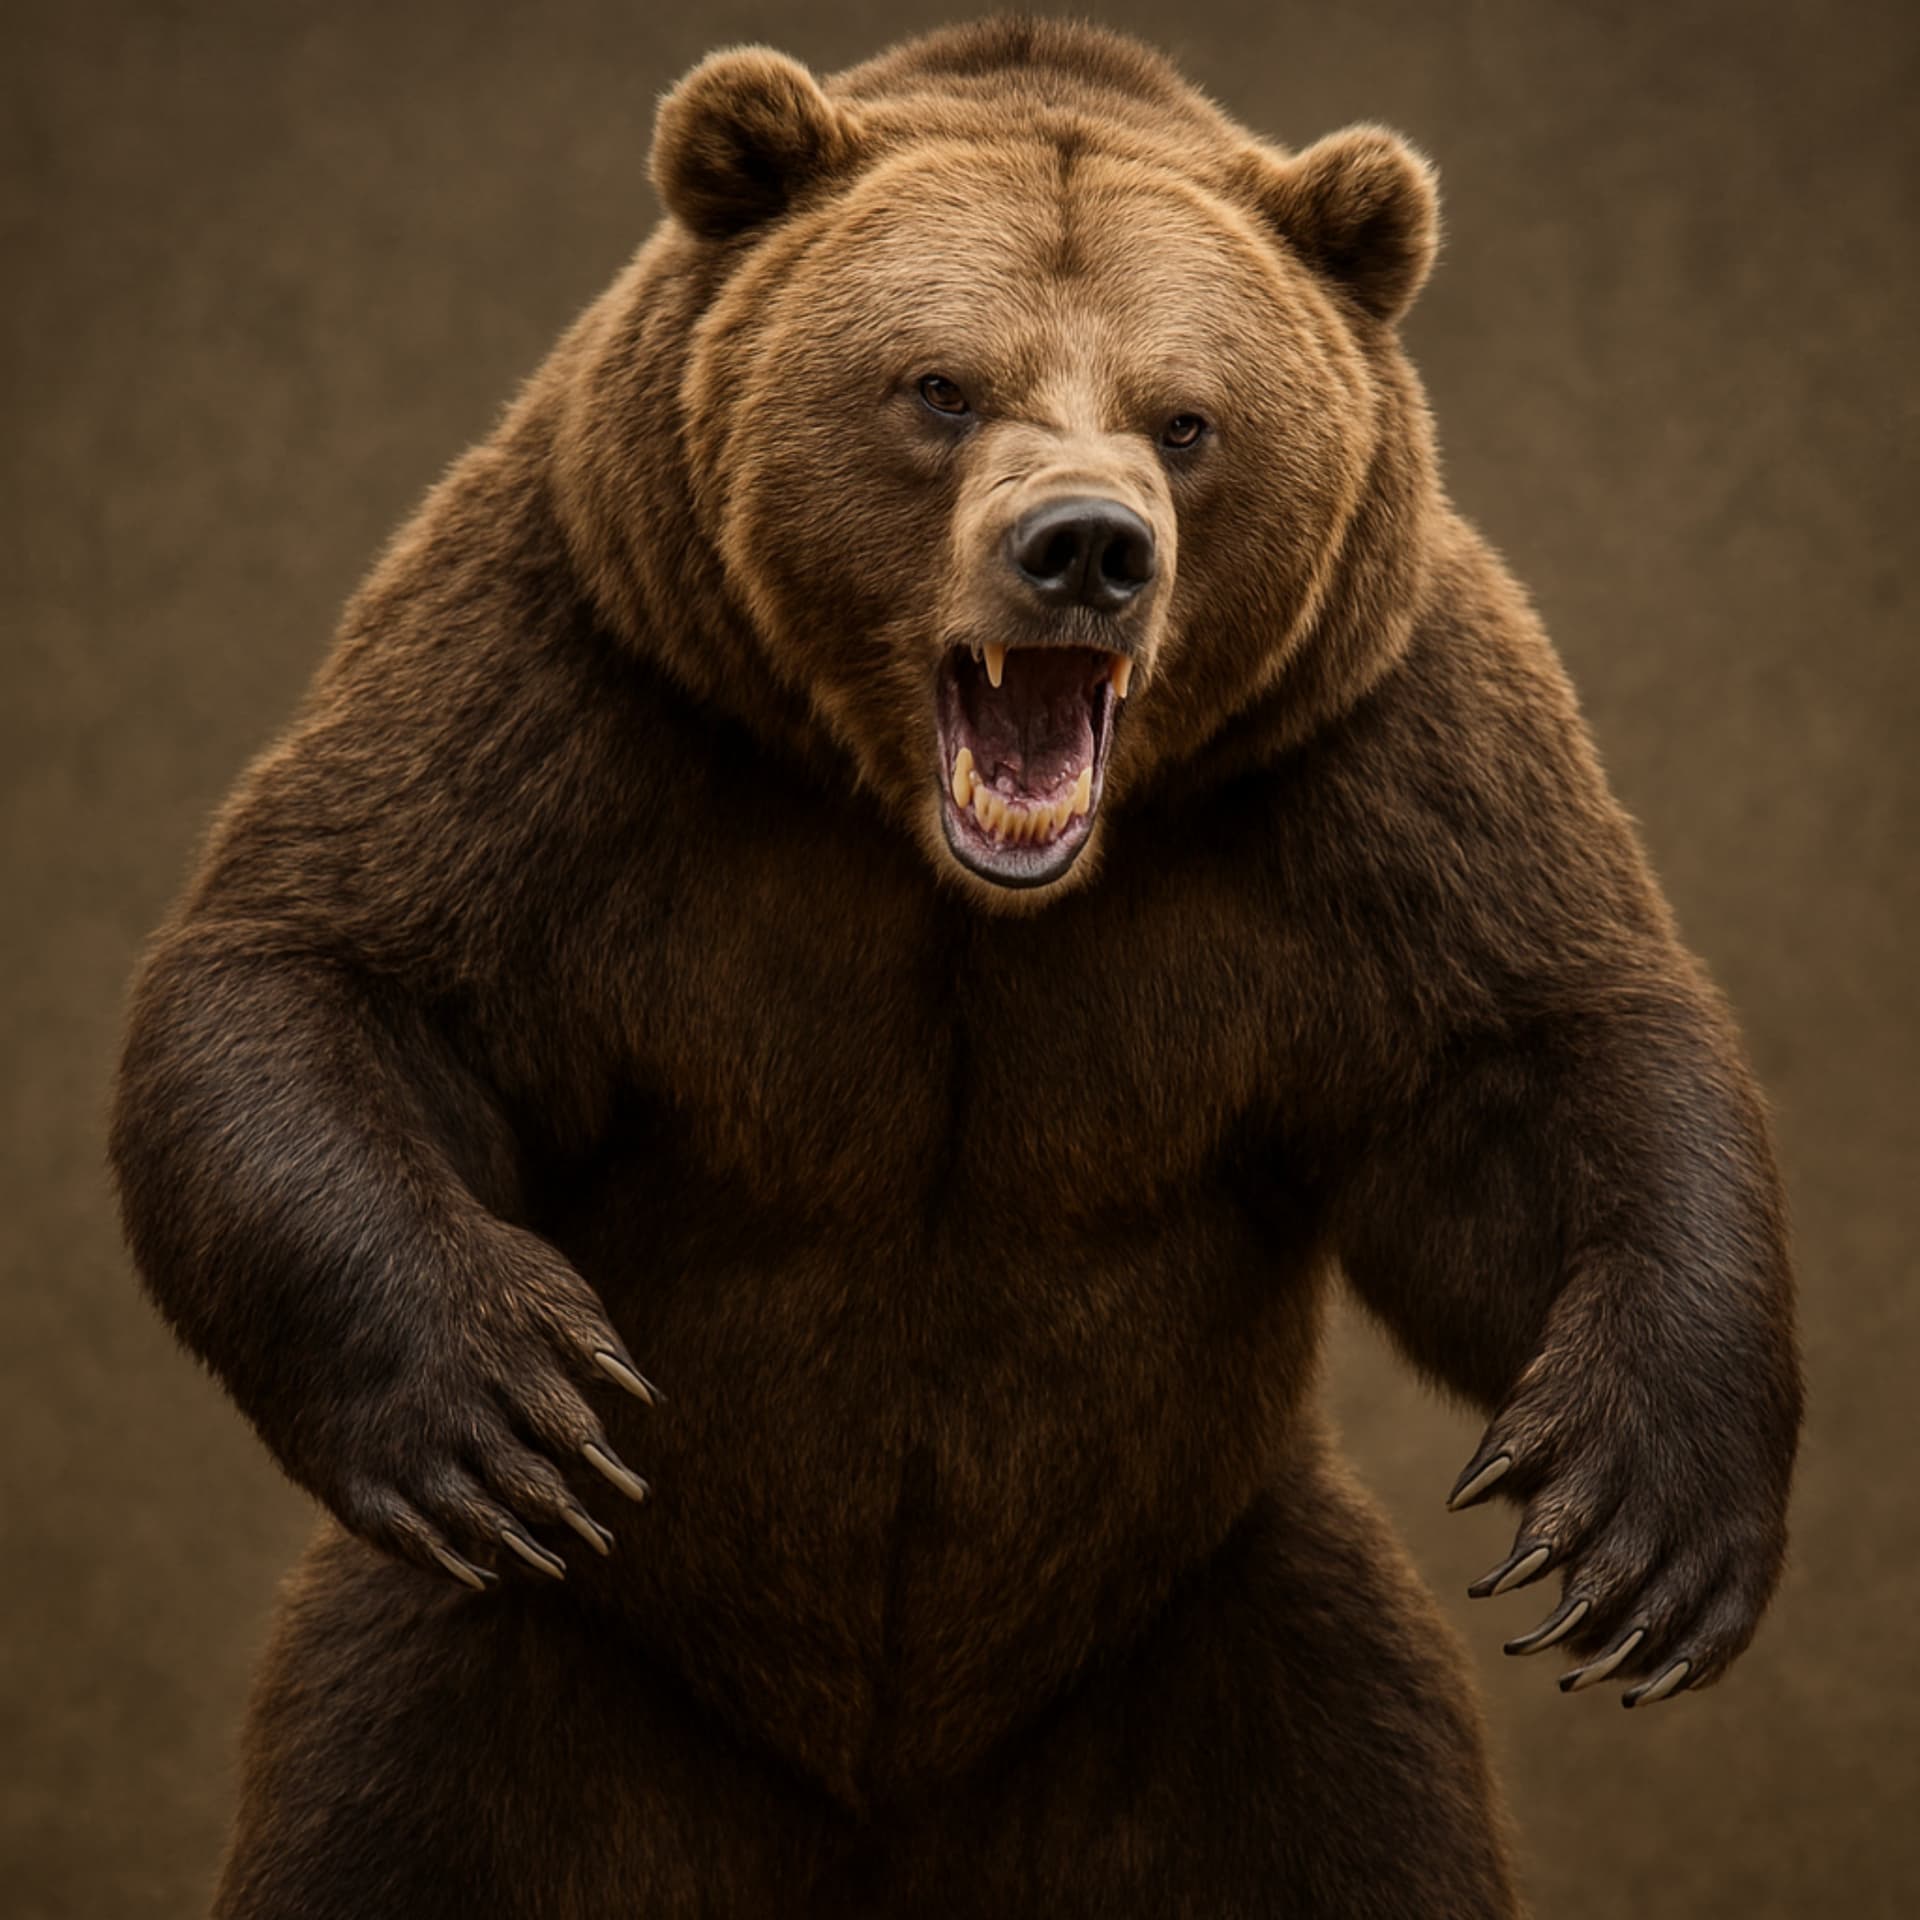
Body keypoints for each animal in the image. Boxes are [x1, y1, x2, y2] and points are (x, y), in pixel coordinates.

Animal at [108, 16, 1803, 1917]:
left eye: (1187, 417)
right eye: (939, 387)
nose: (1086, 547)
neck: (951, 866)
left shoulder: (1362, 750)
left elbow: (1524, 1072)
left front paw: (1640, 1532)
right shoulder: (589, 675)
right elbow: (339, 969)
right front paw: (508, 1399)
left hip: (1229, 1652)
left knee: (1363, 1803)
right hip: (511, 1678)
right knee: (391, 1806)